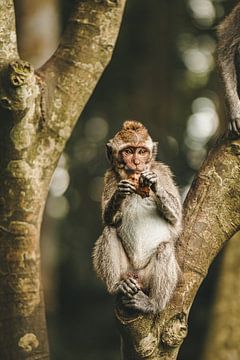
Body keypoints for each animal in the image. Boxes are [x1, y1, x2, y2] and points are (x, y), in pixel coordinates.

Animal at [92, 120, 182, 312]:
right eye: (128, 151)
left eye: (141, 151)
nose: (136, 162)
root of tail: (137, 275)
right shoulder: (110, 176)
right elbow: (108, 220)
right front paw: (119, 194)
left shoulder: (162, 171)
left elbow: (176, 217)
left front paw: (154, 184)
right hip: (127, 271)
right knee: (109, 231)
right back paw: (117, 286)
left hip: (149, 277)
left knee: (165, 248)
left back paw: (153, 303)